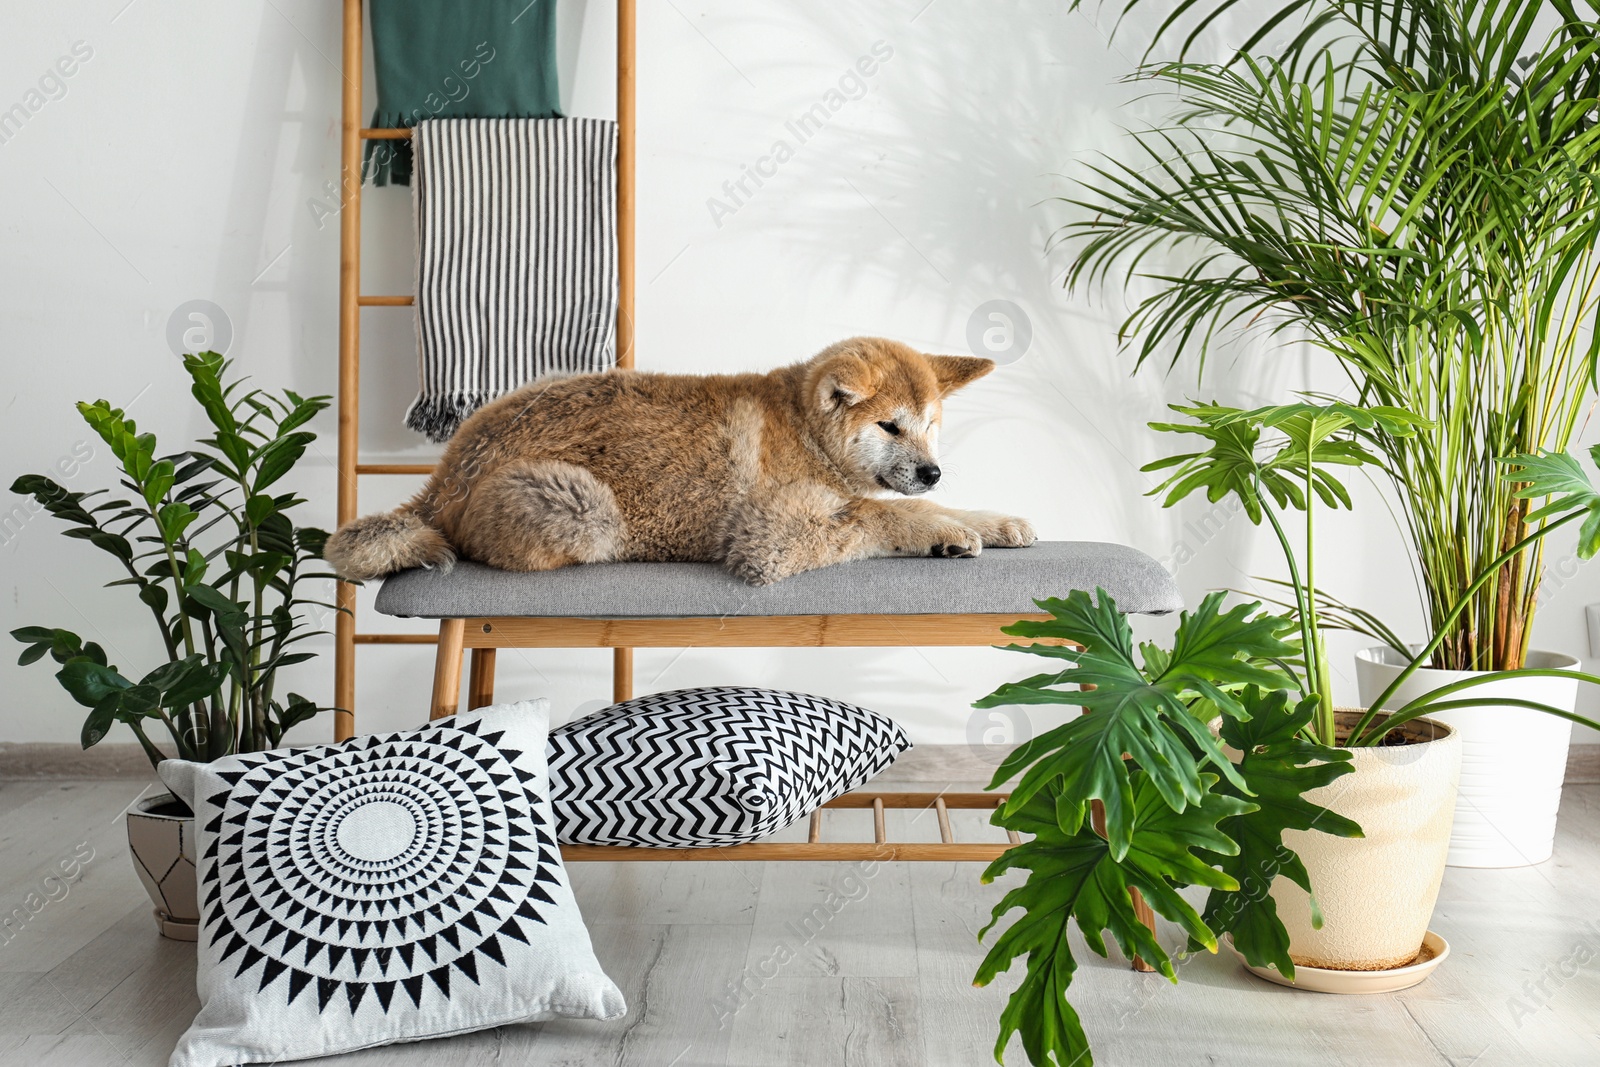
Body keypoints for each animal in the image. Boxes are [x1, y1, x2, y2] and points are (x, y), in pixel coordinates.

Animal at [324, 335, 1036, 585]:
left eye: (932, 428)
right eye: (890, 426)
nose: (932, 471)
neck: (805, 432)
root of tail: (446, 474)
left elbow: (914, 507)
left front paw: (994, 520)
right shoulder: (771, 537)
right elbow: (880, 517)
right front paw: (943, 531)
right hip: (582, 507)